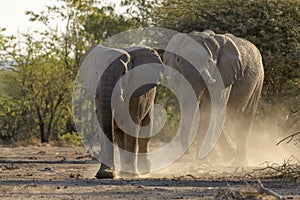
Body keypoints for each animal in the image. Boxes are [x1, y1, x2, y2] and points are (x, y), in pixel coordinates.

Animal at [79, 45, 164, 178]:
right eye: (96, 74)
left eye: (124, 74)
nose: (108, 173)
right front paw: (105, 174)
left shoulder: (135, 93)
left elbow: (131, 125)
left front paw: (130, 175)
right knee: (120, 137)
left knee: (145, 133)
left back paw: (143, 170)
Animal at [163, 30, 264, 166]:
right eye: (178, 59)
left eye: (208, 62)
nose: (186, 153)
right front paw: (215, 157)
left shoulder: (223, 74)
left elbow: (210, 109)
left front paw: (204, 161)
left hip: (259, 78)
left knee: (245, 116)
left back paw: (239, 162)